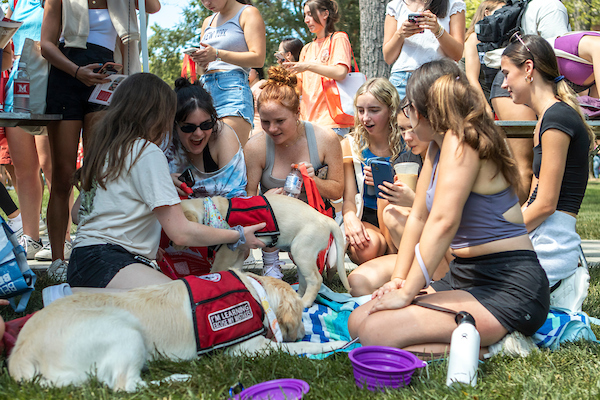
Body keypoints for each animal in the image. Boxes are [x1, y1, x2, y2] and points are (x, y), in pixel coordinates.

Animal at [8, 270, 346, 392]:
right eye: (300, 316)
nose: (302, 331)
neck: (255, 289)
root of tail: (20, 352)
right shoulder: (245, 348)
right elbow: (296, 348)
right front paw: (326, 346)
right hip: (126, 330)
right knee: (124, 385)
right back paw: (180, 377)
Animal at [180, 195, 354, 308]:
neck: (210, 209)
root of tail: (326, 219)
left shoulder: (226, 251)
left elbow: (217, 269)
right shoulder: (240, 250)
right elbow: (236, 269)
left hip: (302, 251)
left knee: (315, 280)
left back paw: (305, 302)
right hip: (302, 255)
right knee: (305, 280)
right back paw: (298, 297)